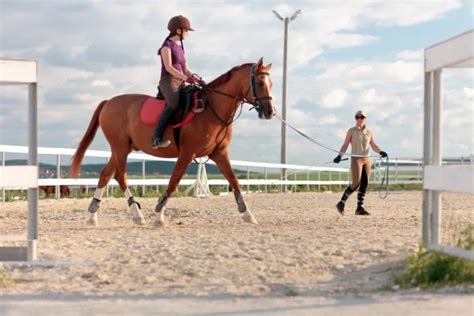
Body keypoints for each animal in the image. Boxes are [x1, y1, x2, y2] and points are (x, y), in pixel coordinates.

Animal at [68, 57, 272, 227]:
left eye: (271, 83)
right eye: (260, 82)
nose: (270, 112)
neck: (211, 109)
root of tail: (108, 102)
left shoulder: (219, 153)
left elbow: (234, 181)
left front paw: (248, 215)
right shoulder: (187, 153)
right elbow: (173, 182)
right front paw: (159, 217)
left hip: (121, 149)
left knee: (105, 175)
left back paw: (93, 216)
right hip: (120, 148)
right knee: (119, 175)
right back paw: (136, 214)